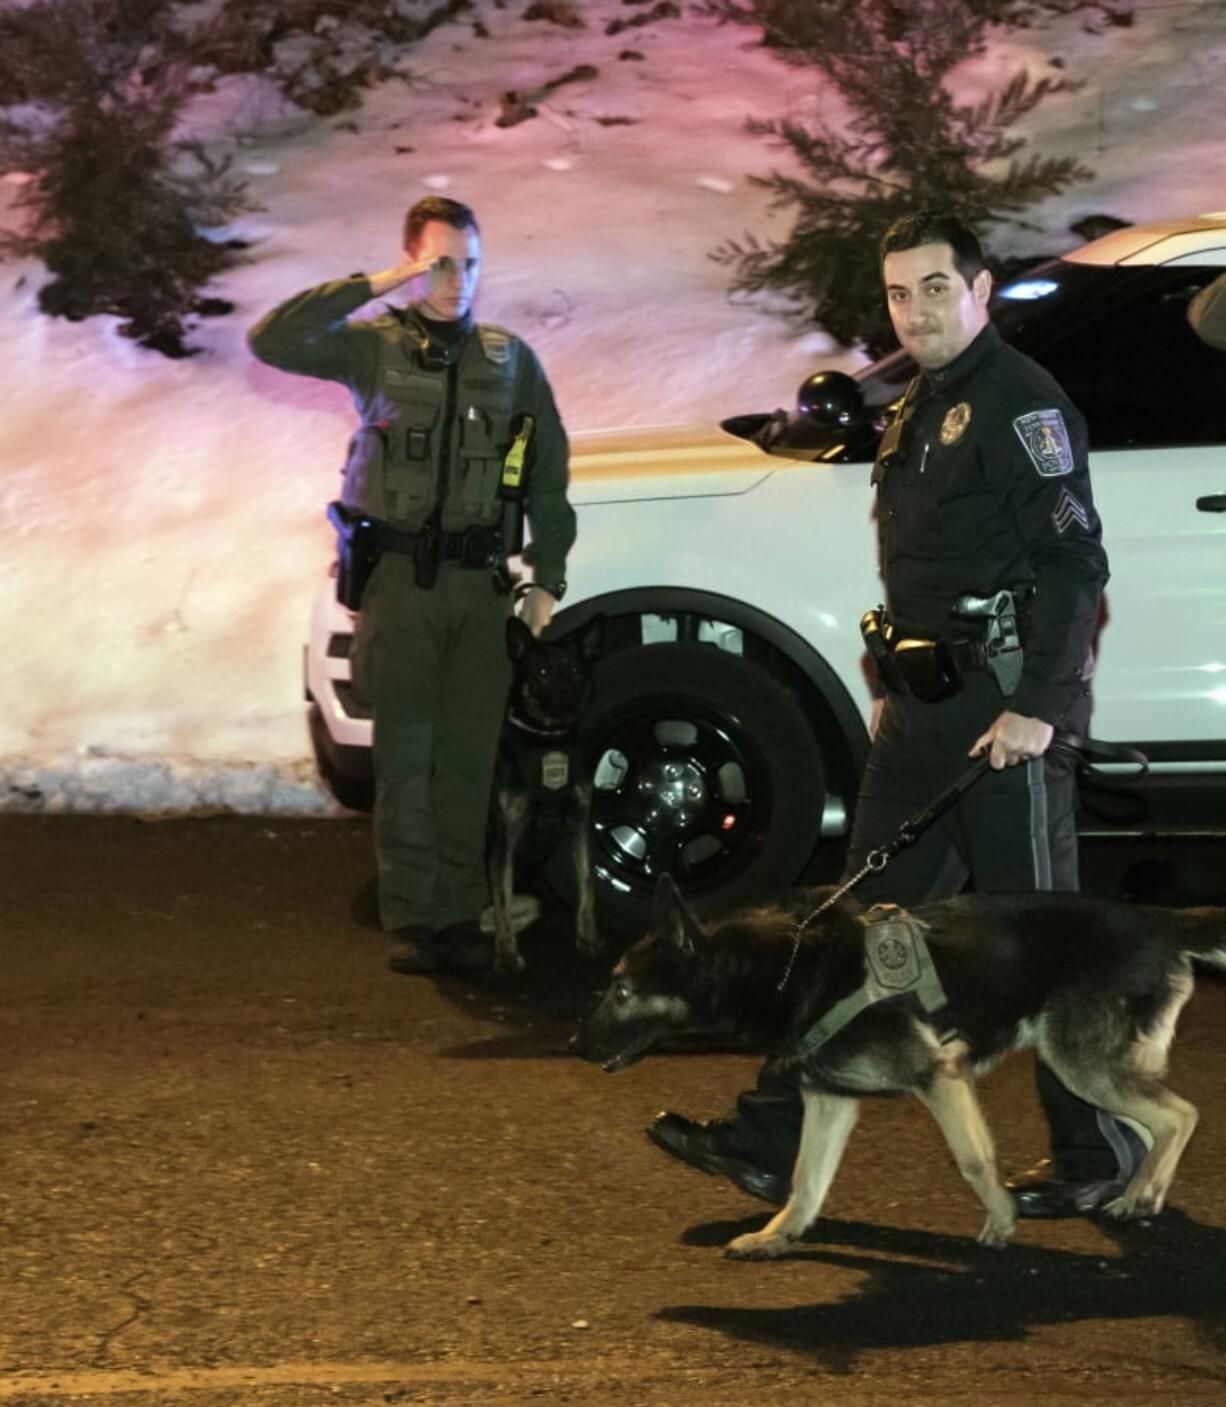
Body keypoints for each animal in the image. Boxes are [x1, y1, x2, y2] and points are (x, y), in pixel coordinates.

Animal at [489, 621, 605, 973]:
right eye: (541, 671)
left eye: (575, 671)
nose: (567, 703)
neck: (547, 738)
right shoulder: (503, 839)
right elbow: (502, 898)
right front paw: (507, 952)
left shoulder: (581, 826)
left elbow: (588, 885)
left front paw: (588, 936)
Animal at [574, 877, 1226, 1255]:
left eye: (622, 991)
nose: (577, 1042)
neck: (785, 971)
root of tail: (1158, 919)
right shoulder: (829, 1101)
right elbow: (806, 1179)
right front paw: (778, 1235)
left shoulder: (939, 1077)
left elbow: (973, 1161)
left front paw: (1002, 1219)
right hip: (1090, 1068)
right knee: (1157, 1123)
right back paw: (1144, 1193)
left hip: (1079, 1062)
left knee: (1181, 1115)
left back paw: (1136, 1193)